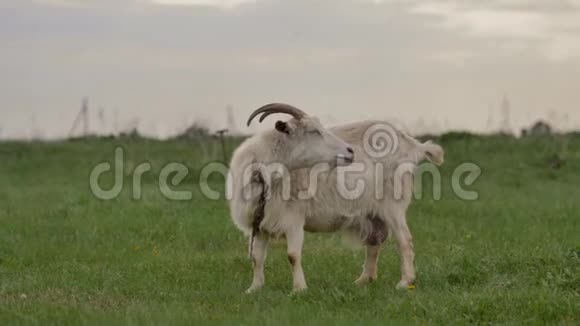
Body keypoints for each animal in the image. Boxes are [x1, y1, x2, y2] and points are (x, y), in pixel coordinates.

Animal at [227, 104, 444, 292]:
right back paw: (363, 280)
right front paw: (254, 289)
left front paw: (299, 290)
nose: (350, 151)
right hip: (372, 212)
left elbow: (293, 255)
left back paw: (405, 282)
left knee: (405, 241)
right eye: (313, 131)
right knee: (375, 242)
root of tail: (412, 144)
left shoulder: (293, 219)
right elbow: (257, 257)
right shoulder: (259, 224)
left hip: (392, 205)